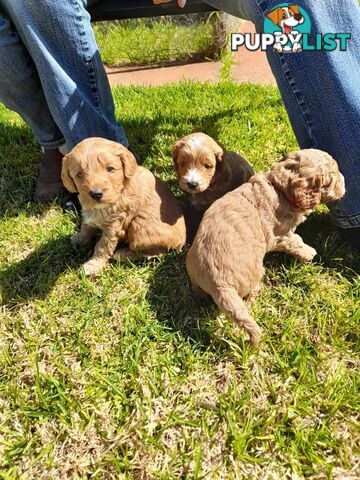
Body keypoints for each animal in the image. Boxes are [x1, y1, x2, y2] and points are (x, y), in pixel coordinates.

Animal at [61, 137, 186, 276]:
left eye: (110, 169)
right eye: (79, 174)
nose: (96, 194)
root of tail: (181, 242)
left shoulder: (115, 225)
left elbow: (103, 246)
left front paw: (93, 265)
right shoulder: (88, 211)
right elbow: (86, 226)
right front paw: (81, 239)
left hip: (139, 227)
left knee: (155, 253)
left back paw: (123, 255)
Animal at [186, 149, 346, 344]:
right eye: (333, 178)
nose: (345, 183)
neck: (279, 188)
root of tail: (219, 284)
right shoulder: (280, 236)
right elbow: (295, 241)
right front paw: (309, 253)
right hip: (255, 273)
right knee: (249, 294)